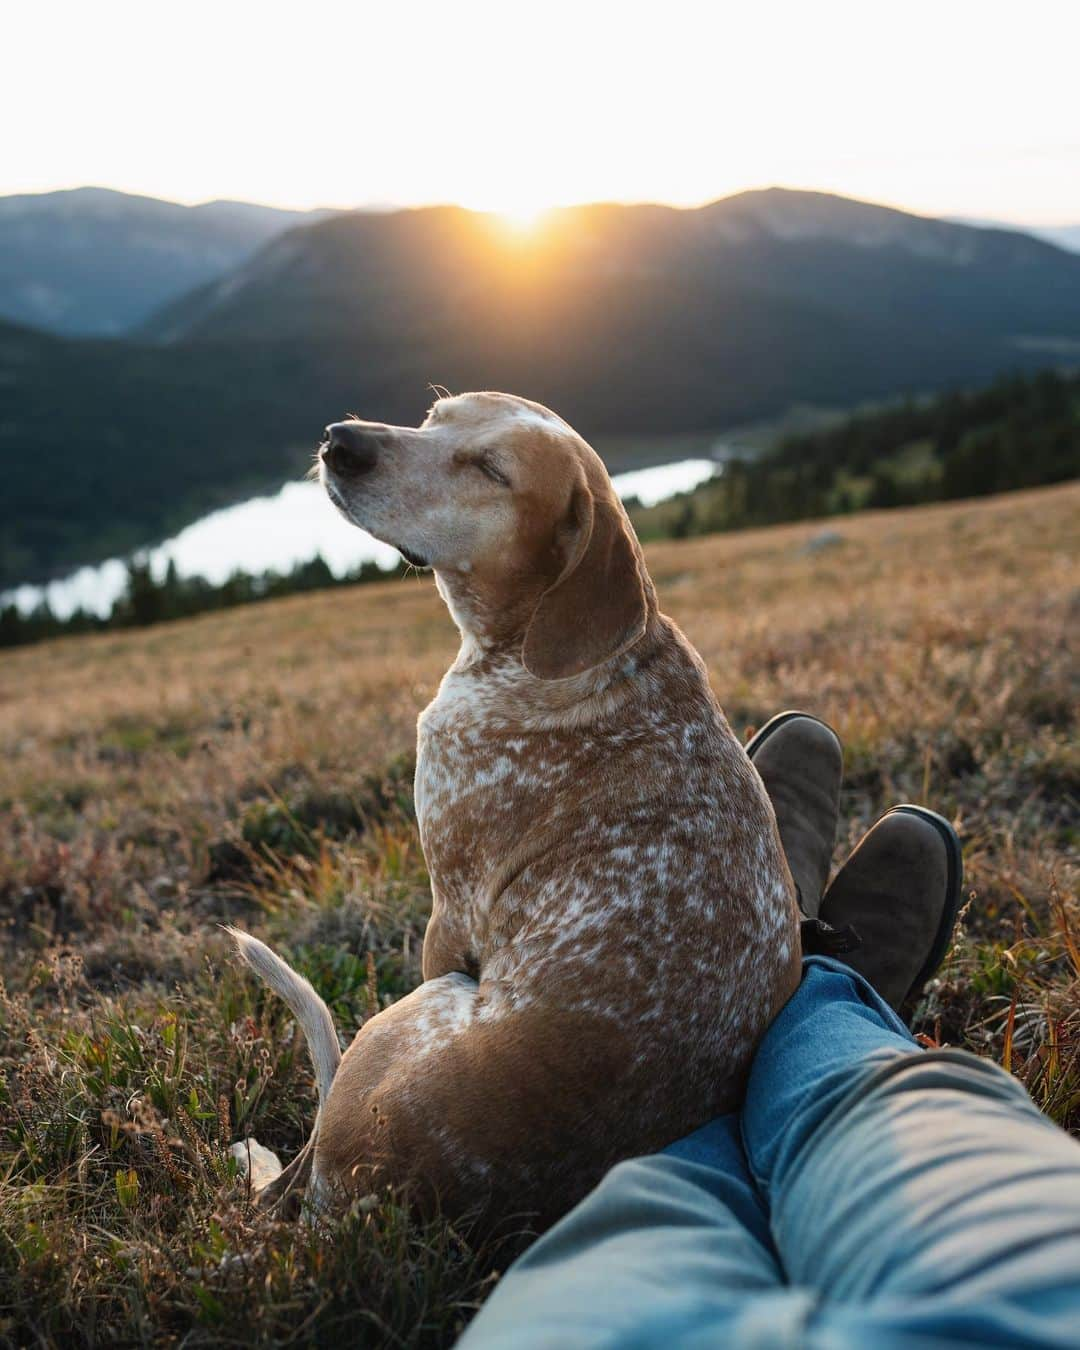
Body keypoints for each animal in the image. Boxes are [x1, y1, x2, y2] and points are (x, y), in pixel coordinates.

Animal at [228, 394, 799, 1236]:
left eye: (491, 471)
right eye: (436, 415)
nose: (341, 442)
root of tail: (357, 1207)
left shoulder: (451, 915)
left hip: (414, 1011)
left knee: (292, 1169)